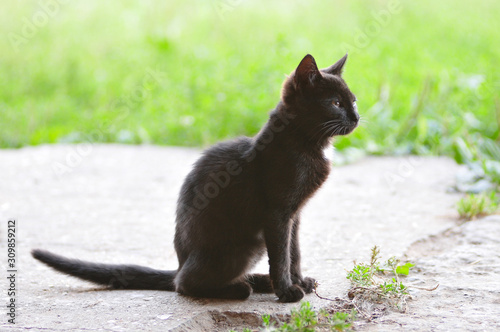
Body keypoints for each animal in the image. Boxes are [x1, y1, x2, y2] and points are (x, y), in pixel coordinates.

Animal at [32, 53, 360, 302]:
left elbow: (295, 252)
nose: (357, 117)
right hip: (246, 245)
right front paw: (287, 291)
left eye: (353, 101)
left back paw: (258, 281)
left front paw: (297, 281)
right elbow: (281, 255)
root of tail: (179, 263)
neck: (307, 144)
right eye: (335, 103)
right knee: (184, 284)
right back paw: (240, 288)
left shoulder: (295, 215)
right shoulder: (277, 214)